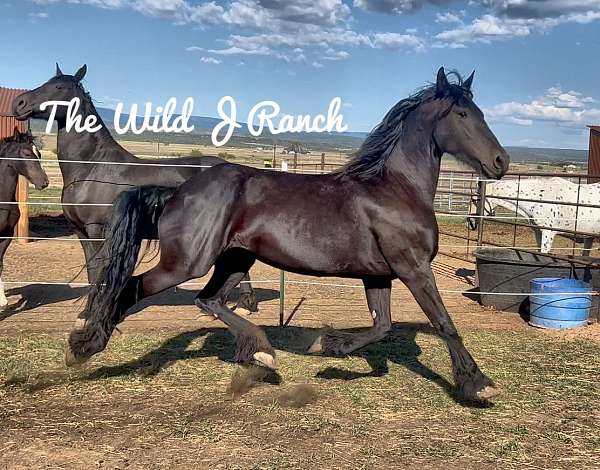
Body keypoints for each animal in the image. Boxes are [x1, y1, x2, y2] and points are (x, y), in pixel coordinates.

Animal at [9, 64, 258, 312]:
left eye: (59, 87)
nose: (18, 103)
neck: (91, 167)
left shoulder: (97, 229)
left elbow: (98, 268)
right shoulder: (80, 231)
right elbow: (90, 268)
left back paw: (243, 304)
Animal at [65, 68, 508, 402]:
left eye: (480, 112)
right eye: (462, 114)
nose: (500, 161)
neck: (393, 188)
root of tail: (179, 189)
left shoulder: (379, 273)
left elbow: (382, 326)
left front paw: (328, 347)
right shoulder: (413, 268)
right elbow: (443, 322)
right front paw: (478, 384)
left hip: (235, 258)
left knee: (209, 300)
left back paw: (261, 354)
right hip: (187, 261)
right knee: (133, 288)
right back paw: (83, 347)